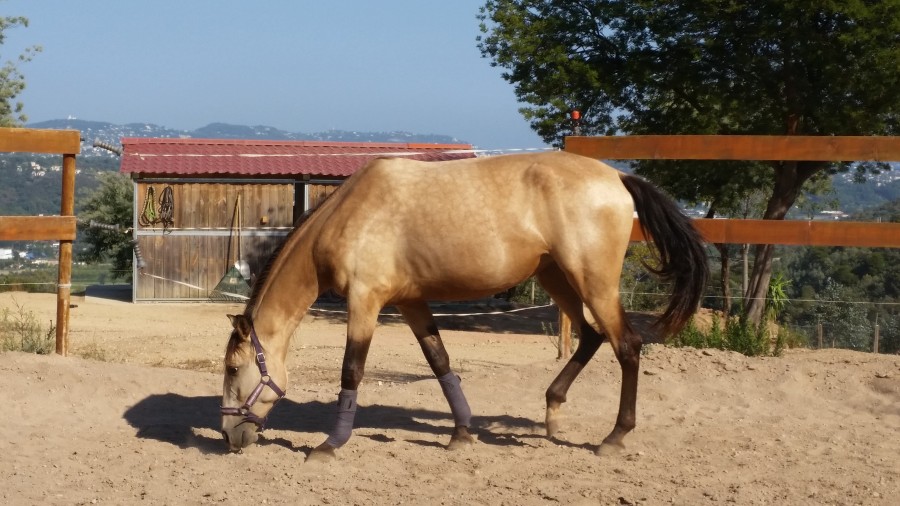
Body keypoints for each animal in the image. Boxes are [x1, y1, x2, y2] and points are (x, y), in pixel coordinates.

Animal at [220, 150, 708, 460]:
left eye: (231, 368)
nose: (228, 436)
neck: (348, 215)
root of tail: (617, 178)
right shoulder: (411, 302)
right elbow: (440, 362)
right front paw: (461, 434)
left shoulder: (365, 302)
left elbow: (351, 372)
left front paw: (329, 445)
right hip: (557, 277)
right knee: (590, 336)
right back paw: (552, 414)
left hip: (593, 282)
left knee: (626, 345)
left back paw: (614, 437)